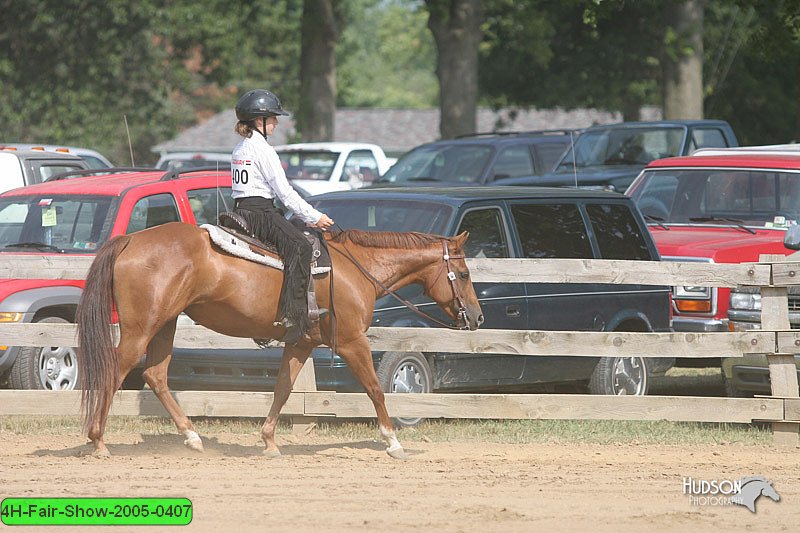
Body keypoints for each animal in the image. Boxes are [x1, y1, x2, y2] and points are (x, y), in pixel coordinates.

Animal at [76, 220, 482, 458]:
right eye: (463, 273)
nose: (477, 318)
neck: (351, 269)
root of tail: (131, 239)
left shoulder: (300, 343)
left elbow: (283, 388)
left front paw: (269, 441)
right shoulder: (352, 342)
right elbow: (375, 389)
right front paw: (393, 442)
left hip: (165, 324)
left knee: (155, 376)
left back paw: (192, 437)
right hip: (142, 328)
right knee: (113, 372)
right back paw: (98, 441)